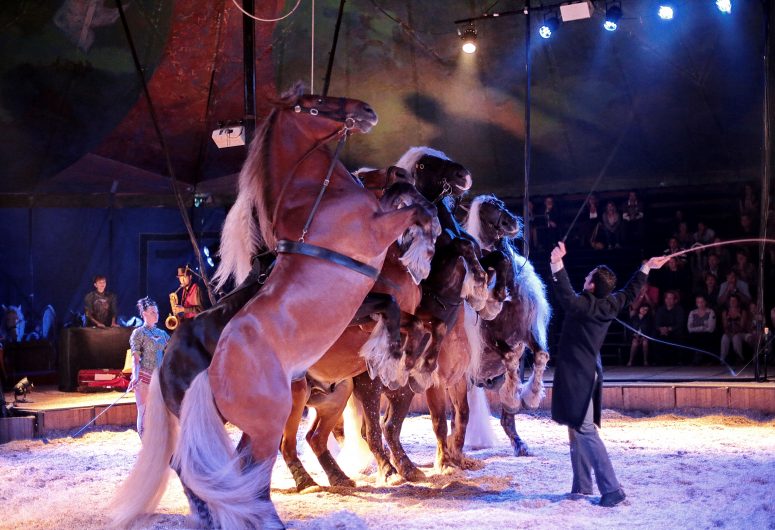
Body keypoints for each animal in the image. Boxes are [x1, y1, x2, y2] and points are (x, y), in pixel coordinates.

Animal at [109, 84, 436, 524]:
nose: (365, 110)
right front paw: (425, 245)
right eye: (313, 104)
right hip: (272, 418)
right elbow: (418, 214)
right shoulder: (375, 234)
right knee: (241, 468)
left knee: (226, 468)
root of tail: (205, 373)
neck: (317, 200)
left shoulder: (367, 300)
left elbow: (405, 315)